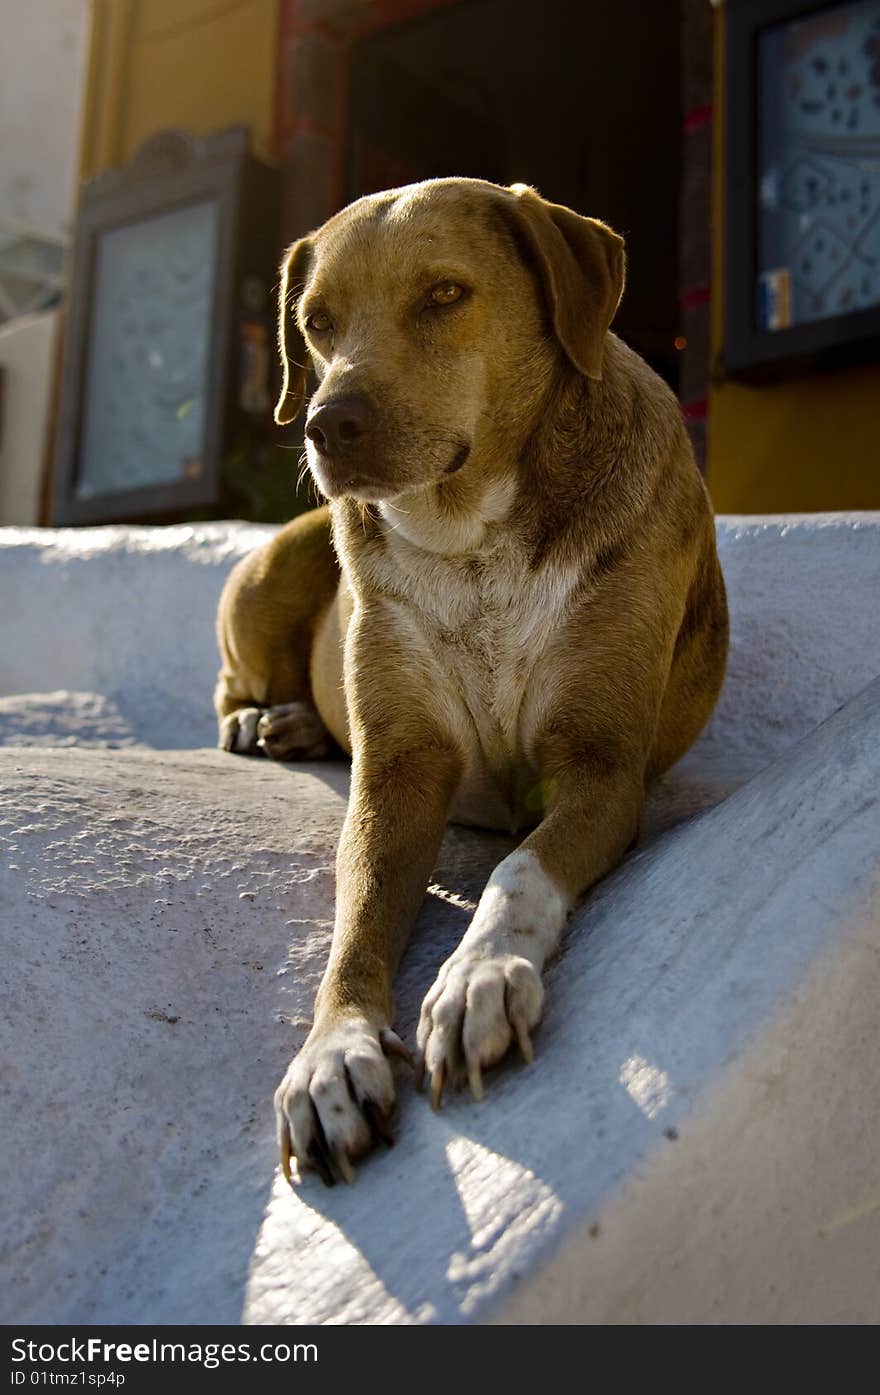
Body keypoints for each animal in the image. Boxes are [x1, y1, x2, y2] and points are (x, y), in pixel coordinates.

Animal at [213, 179, 730, 1188]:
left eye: (446, 295)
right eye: (315, 321)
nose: (327, 424)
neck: (471, 536)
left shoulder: (601, 772)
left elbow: (519, 867)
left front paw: (477, 977)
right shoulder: (397, 772)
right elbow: (355, 922)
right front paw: (331, 1057)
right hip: (270, 565)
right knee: (233, 680)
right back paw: (268, 719)